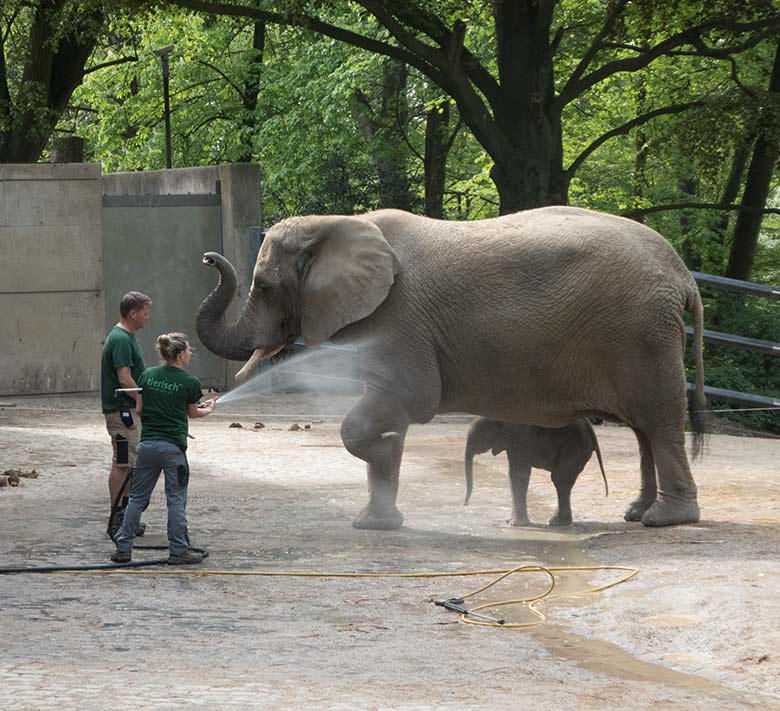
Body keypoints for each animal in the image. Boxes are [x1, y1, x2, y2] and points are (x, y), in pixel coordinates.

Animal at [464, 418, 608, 528]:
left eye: (481, 435)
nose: (465, 505)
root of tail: (592, 432)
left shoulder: (520, 439)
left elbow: (519, 473)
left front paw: (515, 525)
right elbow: (512, 473)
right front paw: (509, 522)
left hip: (574, 447)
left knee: (559, 479)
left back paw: (555, 523)